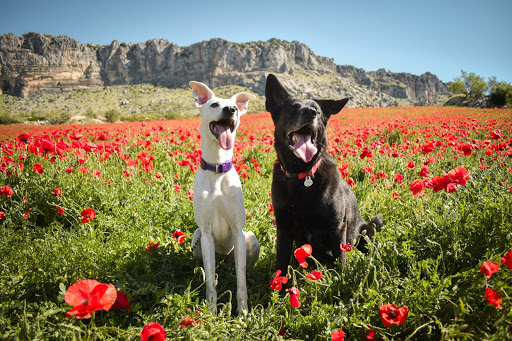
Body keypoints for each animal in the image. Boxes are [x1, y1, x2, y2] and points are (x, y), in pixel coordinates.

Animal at [189, 80, 260, 314]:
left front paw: (243, 313)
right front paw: (211, 313)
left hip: (250, 238)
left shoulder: (238, 231)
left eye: (236, 108)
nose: (230, 109)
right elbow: (211, 281)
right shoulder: (206, 233)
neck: (218, 168)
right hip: (197, 238)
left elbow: (241, 281)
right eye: (214, 104)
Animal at [266, 73, 382, 270]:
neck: (302, 174)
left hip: (367, 231)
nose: (310, 113)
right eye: (293, 108)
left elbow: (341, 262)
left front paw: (342, 277)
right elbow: (281, 264)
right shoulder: (283, 228)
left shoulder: (338, 228)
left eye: (317, 111)